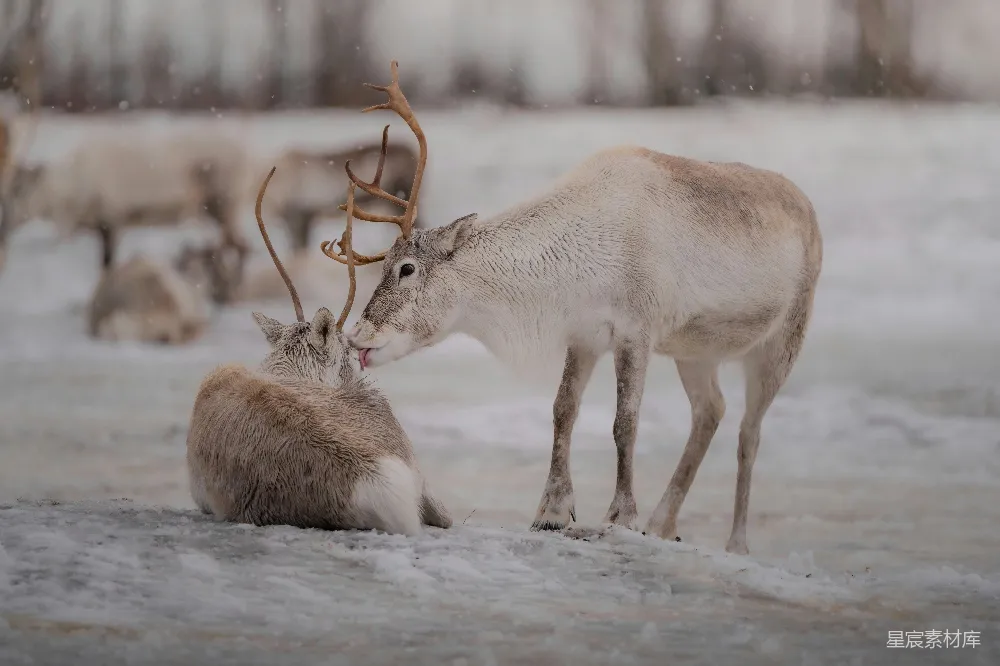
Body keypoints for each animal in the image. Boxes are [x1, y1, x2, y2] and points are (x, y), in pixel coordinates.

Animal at [322, 61, 823, 555]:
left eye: (406, 269)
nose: (357, 334)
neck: (575, 264)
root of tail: (809, 210)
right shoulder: (583, 335)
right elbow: (563, 410)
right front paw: (551, 512)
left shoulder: (636, 331)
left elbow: (625, 423)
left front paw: (620, 517)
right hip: (694, 350)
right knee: (711, 410)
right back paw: (663, 524)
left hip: (783, 339)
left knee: (749, 432)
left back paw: (735, 543)